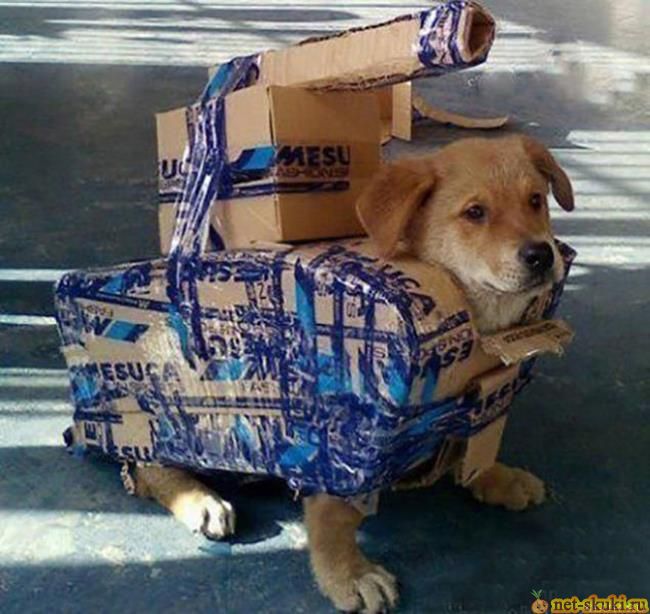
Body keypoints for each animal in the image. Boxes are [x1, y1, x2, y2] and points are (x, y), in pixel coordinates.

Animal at [132, 134, 574, 613]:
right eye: (475, 212)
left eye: (536, 201)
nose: (541, 254)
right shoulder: (342, 439)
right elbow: (333, 515)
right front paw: (348, 573)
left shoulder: (480, 405)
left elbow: (473, 449)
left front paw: (496, 477)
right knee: (147, 461)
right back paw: (200, 500)